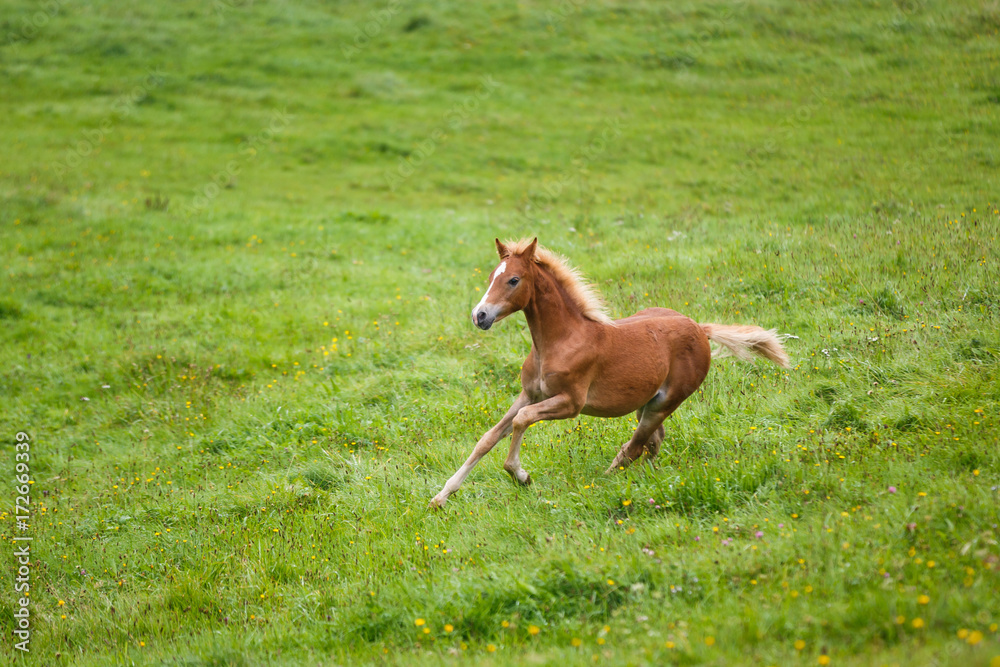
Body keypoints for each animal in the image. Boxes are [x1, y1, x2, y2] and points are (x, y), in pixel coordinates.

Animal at [429, 237, 790, 509]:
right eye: (492, 275)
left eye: (513, 280)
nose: (480, 315)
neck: (560, 340)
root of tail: (701, 329)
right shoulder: (530, 394)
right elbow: (488, 438)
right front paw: (442, 496)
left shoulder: (570, 403)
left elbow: (521, 421)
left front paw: (521, 476)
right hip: (648, 402)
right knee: (653, 442)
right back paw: (648, 478)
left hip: (665, 403)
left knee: (635, 447)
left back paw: (605, 481)